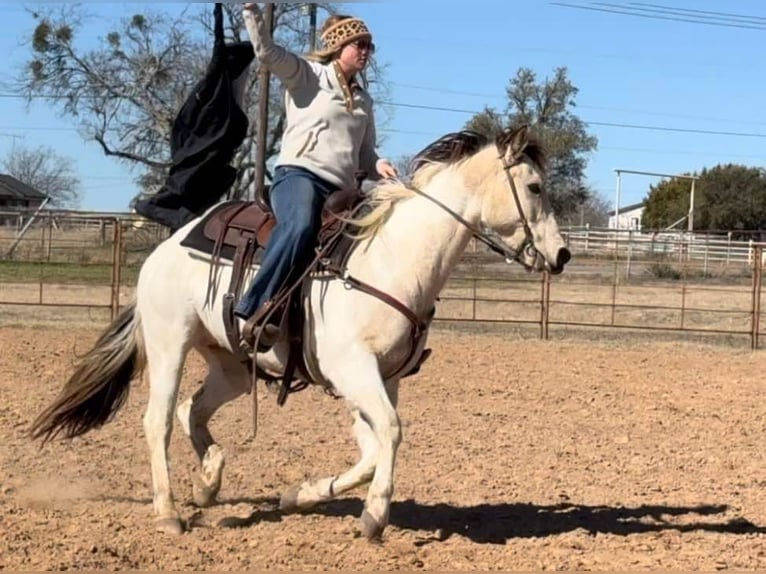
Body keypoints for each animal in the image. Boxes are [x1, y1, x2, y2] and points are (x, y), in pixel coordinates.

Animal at [30, 124, 571, 540]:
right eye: (534, 187)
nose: (563, 254)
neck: (390, 259)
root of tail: (169, 245)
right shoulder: (353, 370)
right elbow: (390, 433)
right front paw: (374, 517)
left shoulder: (383, 378)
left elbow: (373, 448)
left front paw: (301, 496)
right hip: (170, 345)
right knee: (158, 420)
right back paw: (169, 514)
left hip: (233, 367)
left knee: (191, 411)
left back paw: (208, 482)